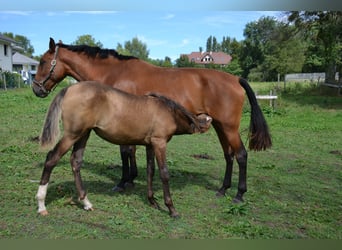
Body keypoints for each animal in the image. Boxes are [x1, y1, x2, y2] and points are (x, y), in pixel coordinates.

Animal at [33, 38, 272, 203]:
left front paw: (124, 181)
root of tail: (236, 78)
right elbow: (130, 151)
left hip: (229, 127)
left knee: (241, 155)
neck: (115, 73)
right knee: (228, 155)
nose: (36, 89)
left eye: (43, 62)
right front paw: (131, 178)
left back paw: (239, 194)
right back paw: (223, 189)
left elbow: (125, 151)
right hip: (221, 126)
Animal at [37, 81, 212, 217]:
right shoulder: (159, 143)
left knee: (76, 162)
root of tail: (69, 88)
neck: (168, 111)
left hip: (83, 134)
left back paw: (86, 202)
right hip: (72, 134)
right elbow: (164, 173)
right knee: (51, 159)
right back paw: (41, 204)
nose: (208, 120)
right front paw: (171, 208)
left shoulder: (150, 145)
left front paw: (152, 201)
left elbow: (150, 171)